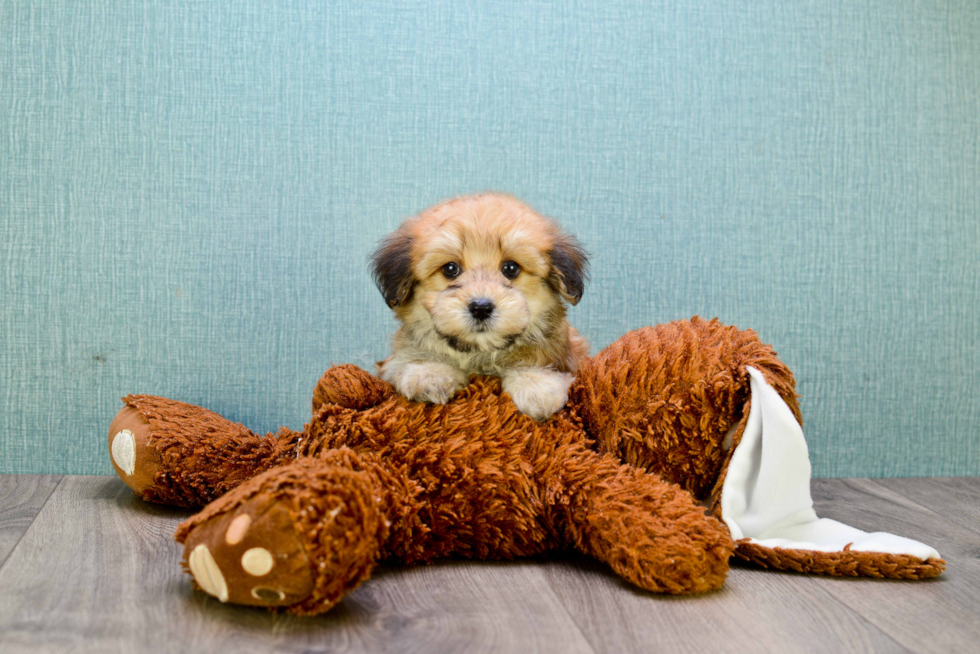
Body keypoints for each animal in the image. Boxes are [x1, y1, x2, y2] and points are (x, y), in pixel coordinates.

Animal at [372, 192, 588, 422]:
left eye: (511, 268)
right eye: (450, 269)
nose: (481, 307)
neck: (480, 354)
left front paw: (535, 383)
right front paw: (429, 372)